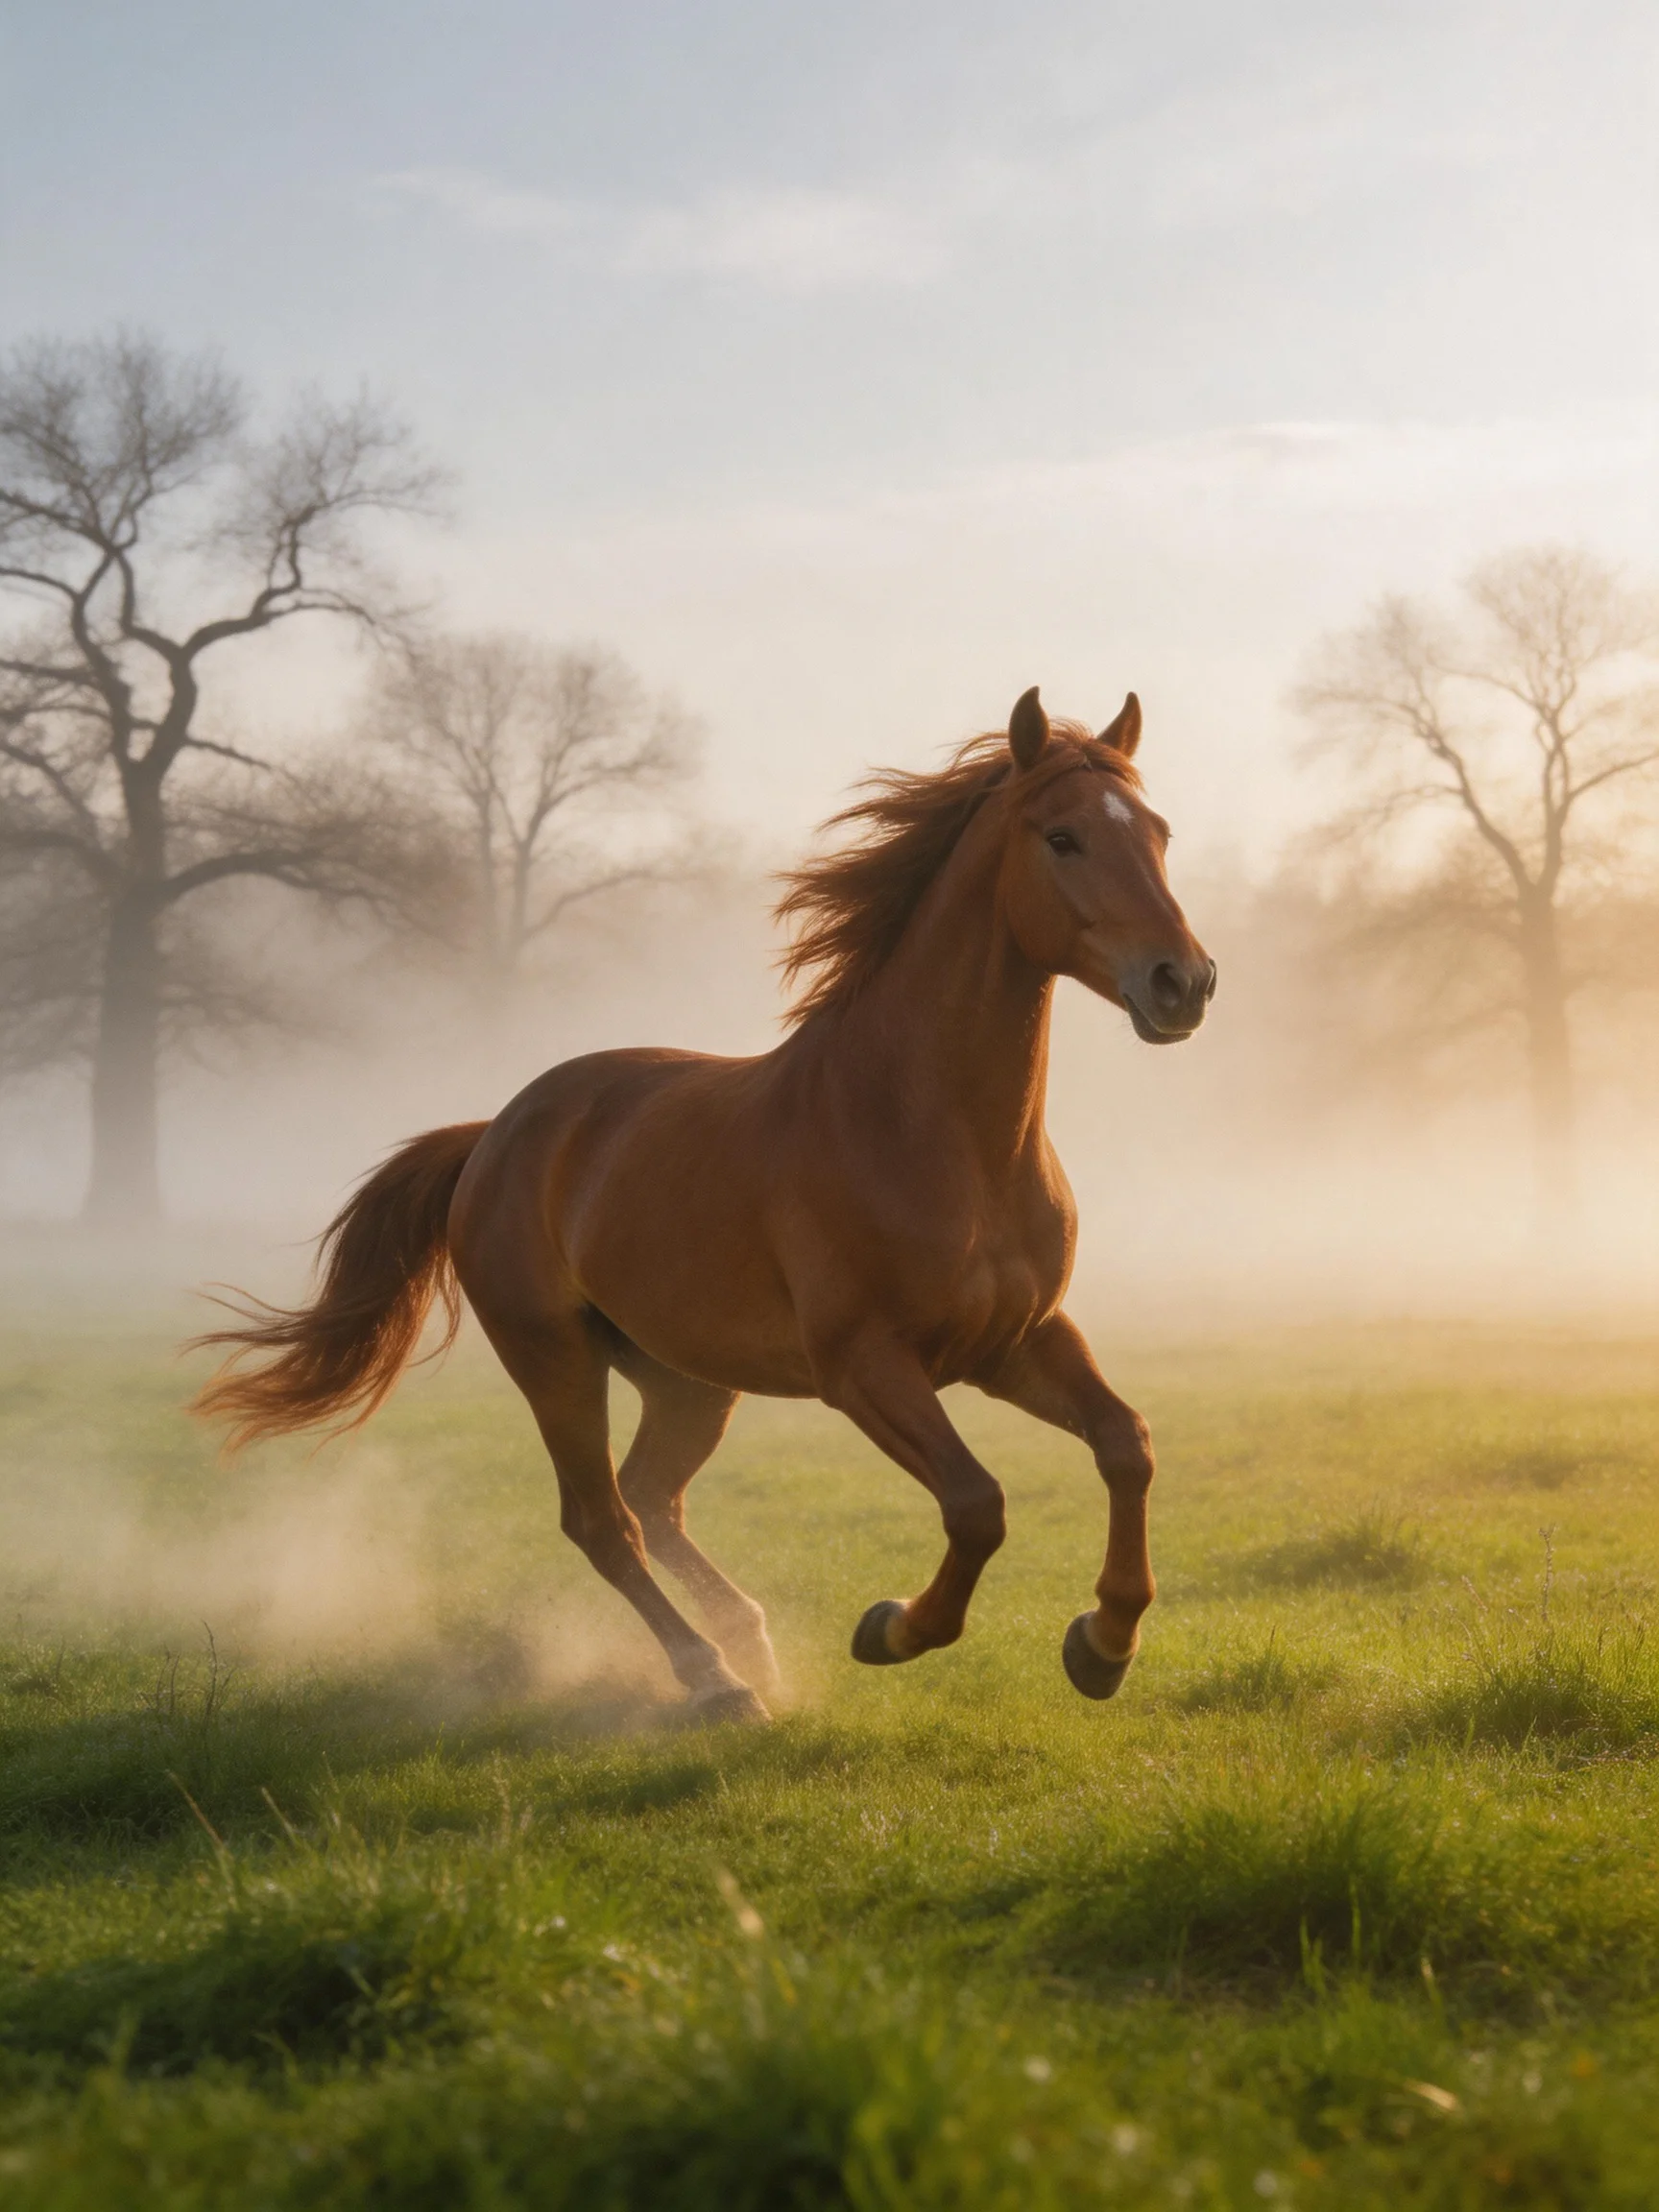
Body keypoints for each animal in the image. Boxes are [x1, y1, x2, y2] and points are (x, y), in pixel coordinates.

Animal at [193, 687, 1214, 1723]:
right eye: (1061, 837)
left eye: (1159, 832)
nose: (1184, 982)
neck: (941, 1139)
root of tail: (493, 1135)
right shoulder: (865, 1366)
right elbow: (976, 1504)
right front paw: (892, 1628)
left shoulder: (1016, 1340)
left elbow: (1126, 1444)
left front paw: (1104, 1644)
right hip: (554, 1360)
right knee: (603, 1520)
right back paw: (716, 1680)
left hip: (686, 1377)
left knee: (652, 1497)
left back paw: (749, 1641)